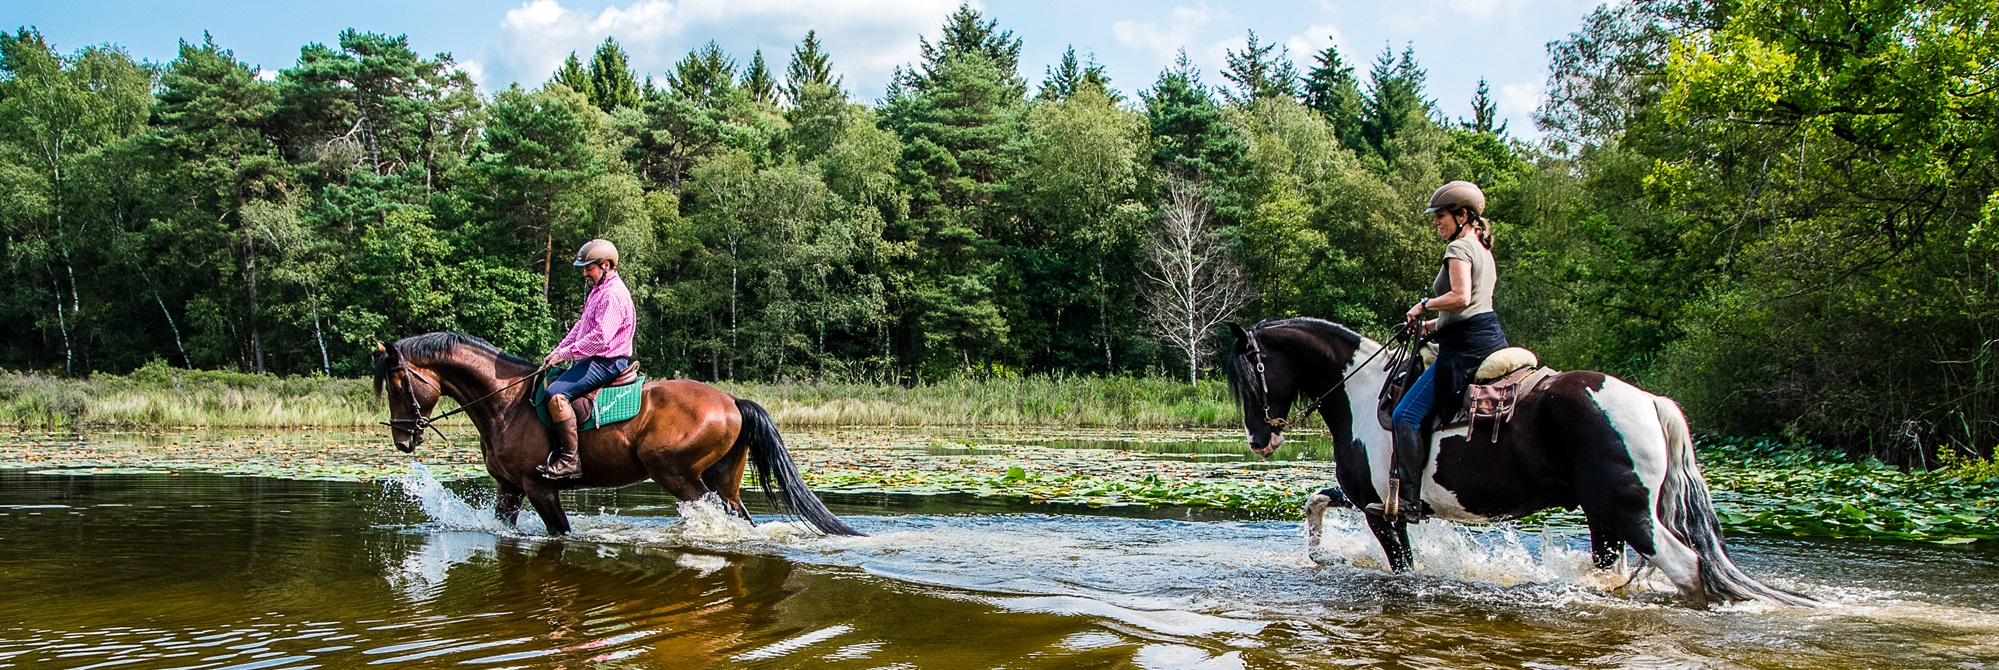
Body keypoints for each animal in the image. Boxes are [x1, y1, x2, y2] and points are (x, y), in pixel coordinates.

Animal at [373, 332, 861, 537]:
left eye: (397, 385)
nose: (402, 439)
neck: (505, 403)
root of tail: (730, 401)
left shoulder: (538, 486)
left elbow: (560, 532)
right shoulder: (509, 486)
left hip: (677, 475)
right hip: (724, 480)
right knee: (739, 517)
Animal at [1224, 318, 1809, 608]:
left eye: (1249, 376)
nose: (1258, 439)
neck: (1366, 391)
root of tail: (1648, 402)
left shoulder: (1382, 510)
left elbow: (1401, 564)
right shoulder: (1370, 498)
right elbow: (1317, 500)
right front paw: (1321, 555)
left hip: (1627, 513)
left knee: (1687, 568)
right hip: (1605, 518)